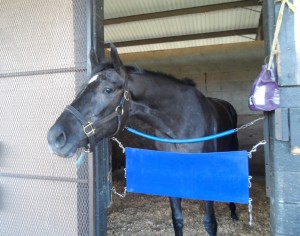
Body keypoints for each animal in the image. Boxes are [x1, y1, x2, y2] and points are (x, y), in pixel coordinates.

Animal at [47, 44, 239, 236]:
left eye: (108, 90)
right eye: (82, 87)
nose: (55, 137)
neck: (182, 124)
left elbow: (210, 222)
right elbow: (177, 219)